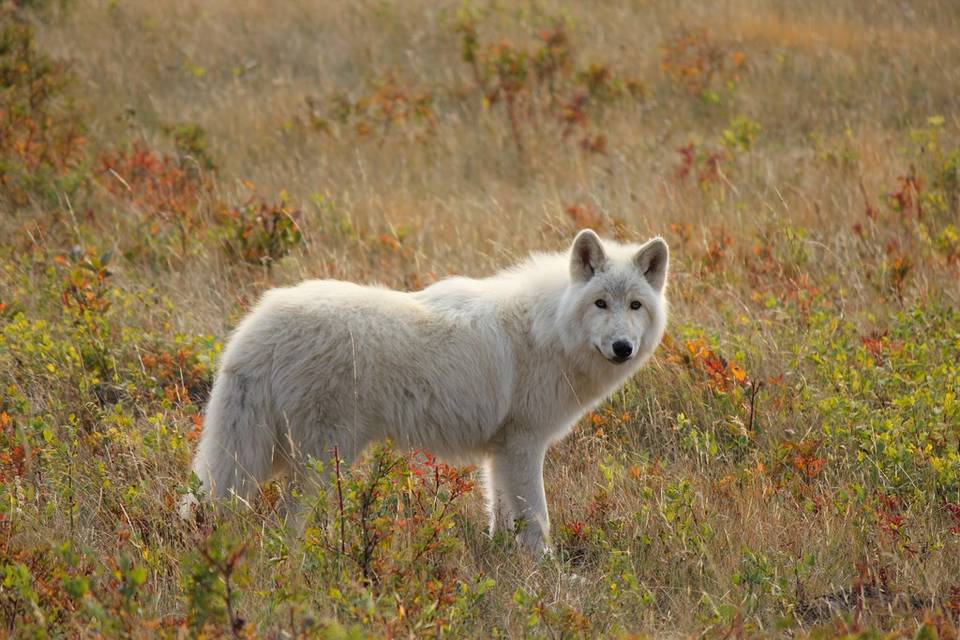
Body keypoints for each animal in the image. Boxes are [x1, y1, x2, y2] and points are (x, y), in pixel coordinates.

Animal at [186, 230, 668, 556]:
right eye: (600, 303)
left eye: (635, 306)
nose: (622, 347)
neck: (548, 329)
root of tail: (257, 327)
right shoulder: (524, 444)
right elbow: (537, 519)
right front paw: (548, 573)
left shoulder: (500, 451)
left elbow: (500, 515)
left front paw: (502, 561)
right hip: (317, 462)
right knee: (285, 523)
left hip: (275, 457)